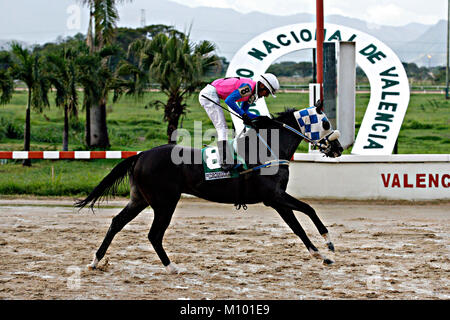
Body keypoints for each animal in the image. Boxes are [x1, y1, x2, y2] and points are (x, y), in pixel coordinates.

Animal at [74, 104, 342, 274]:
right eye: (325, 121)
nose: (338, 148)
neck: (268, 147)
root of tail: (140, 155)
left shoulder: (276, 199)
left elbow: (298, 225)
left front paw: (322, 255)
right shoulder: (274, 197)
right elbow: (307, 211)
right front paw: (328, 244)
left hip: (139, 199)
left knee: (116, 223)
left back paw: (95, 262)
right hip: (164, 202)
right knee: (154, 235)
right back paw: (172, 267)